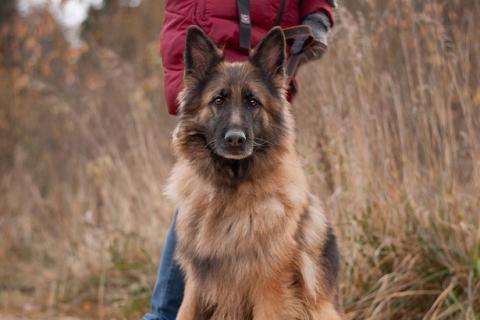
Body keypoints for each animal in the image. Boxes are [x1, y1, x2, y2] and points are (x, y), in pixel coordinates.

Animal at [165, 25, 342, 320]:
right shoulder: (196, 287)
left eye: (252, 102)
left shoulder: (271, 289)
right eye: (218, 100)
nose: (235, 140)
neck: (229, 193)